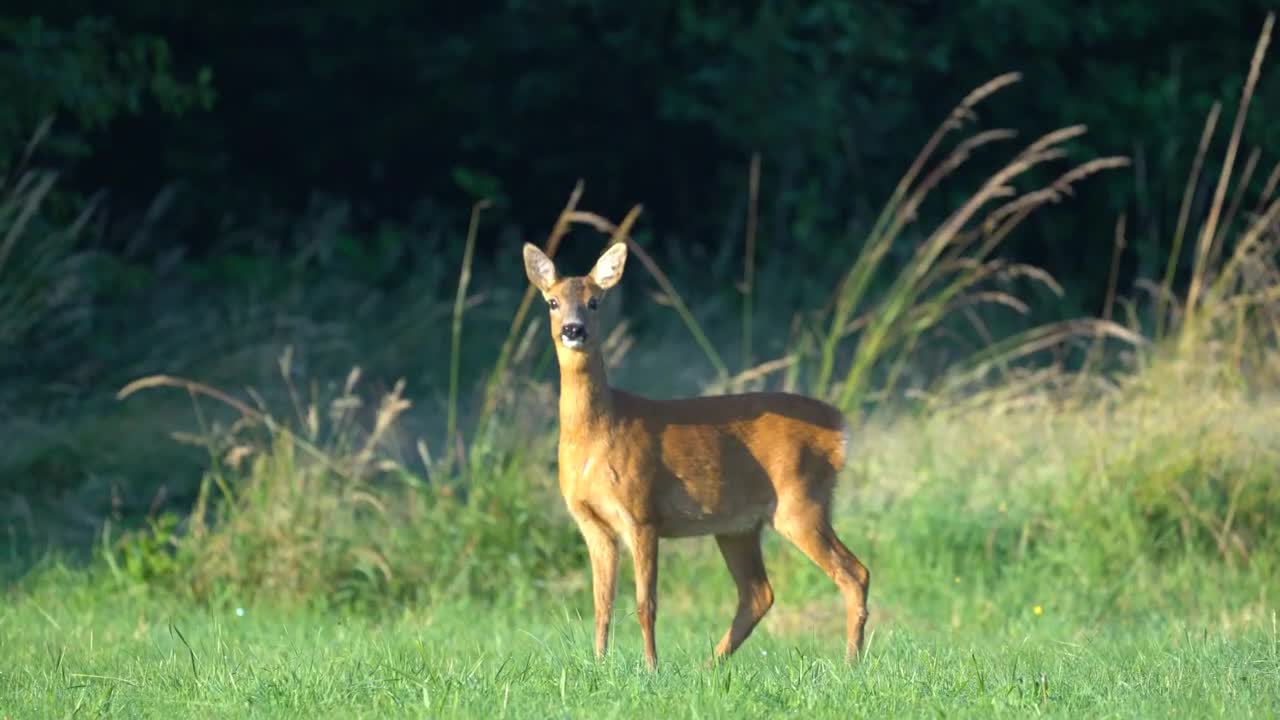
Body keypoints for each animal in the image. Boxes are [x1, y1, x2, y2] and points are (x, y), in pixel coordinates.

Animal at [519, 239, 870, 666]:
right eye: (552, 301)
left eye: (595, 302)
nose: (574, 329)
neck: (597, 433)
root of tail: (840, 425)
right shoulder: (591, 522)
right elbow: (601, 603)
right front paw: (599, 664)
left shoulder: (642, 513)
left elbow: (646, 604)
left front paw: (651, 667)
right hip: (738, 525)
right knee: (758, 593)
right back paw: (710, 666)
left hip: (801, 502)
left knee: (854, 573)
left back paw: (850, 662)